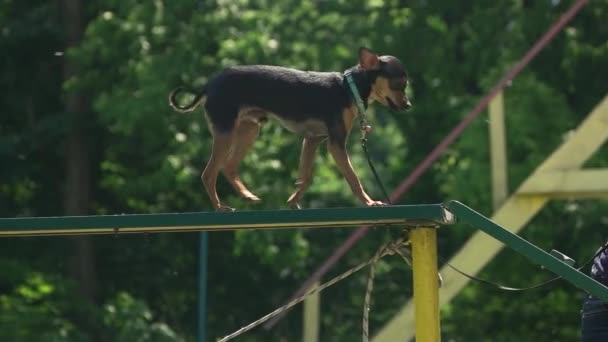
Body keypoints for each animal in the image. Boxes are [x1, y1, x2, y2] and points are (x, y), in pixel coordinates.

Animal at [169, 46, 410, 210]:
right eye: (399, 84)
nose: (408, 105)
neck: (348, 88)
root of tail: (209, 84)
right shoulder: (335, 144)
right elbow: (353, 178)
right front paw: (369, 202)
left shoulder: (313, 140)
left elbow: (306, 177)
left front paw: (293, 201)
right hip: (226, 132)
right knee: (209, 173)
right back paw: (220, 207)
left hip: (249, 130)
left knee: (228, 167)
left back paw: (247, 196)